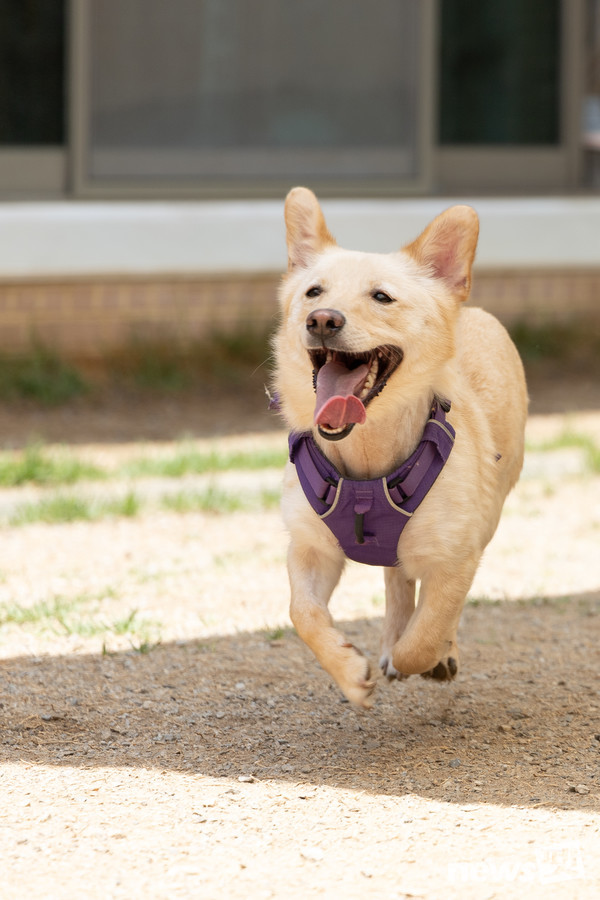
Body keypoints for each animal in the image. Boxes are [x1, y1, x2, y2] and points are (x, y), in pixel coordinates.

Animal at [270, 188, 524, 712]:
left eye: (382, 297)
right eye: (313, 293)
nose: (322, 320)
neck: (366, 459)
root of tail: (470, 311)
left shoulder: (457, 558)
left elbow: (426, 634)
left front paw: (429, 656)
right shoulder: (309, 548)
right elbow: (302, 612)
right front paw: (349, 670)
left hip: (488, 518)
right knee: (396, 580)